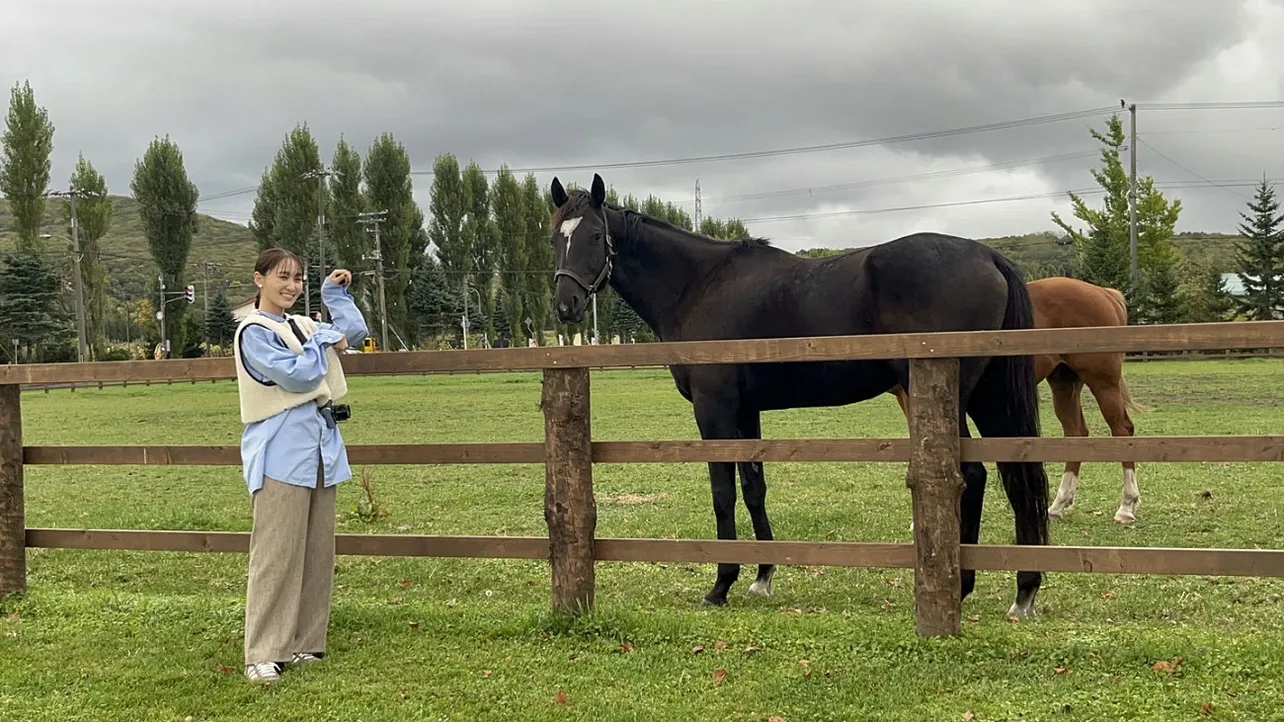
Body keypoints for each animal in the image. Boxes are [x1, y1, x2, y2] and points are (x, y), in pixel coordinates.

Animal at [546, 173, 1047, 611]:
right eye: (555, 238)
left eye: (595, 235)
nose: (566, 304)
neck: (699, 284)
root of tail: (988, 256)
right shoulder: (745, 412)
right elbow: (753, 486)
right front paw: (762, 575)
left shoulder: (714, 409)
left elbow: (722, 490)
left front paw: (721, 584)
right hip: (987, 396)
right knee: (1016, 474)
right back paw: (1024, 589)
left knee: (973, 476)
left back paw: (961, 586)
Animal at [893, 274, 1145, 521]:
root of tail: (1104, 293)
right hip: (1065, 383)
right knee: (1076, 433)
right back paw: (1058, 505)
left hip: (1103, 382)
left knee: (1122, 429)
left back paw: (1126, 507)